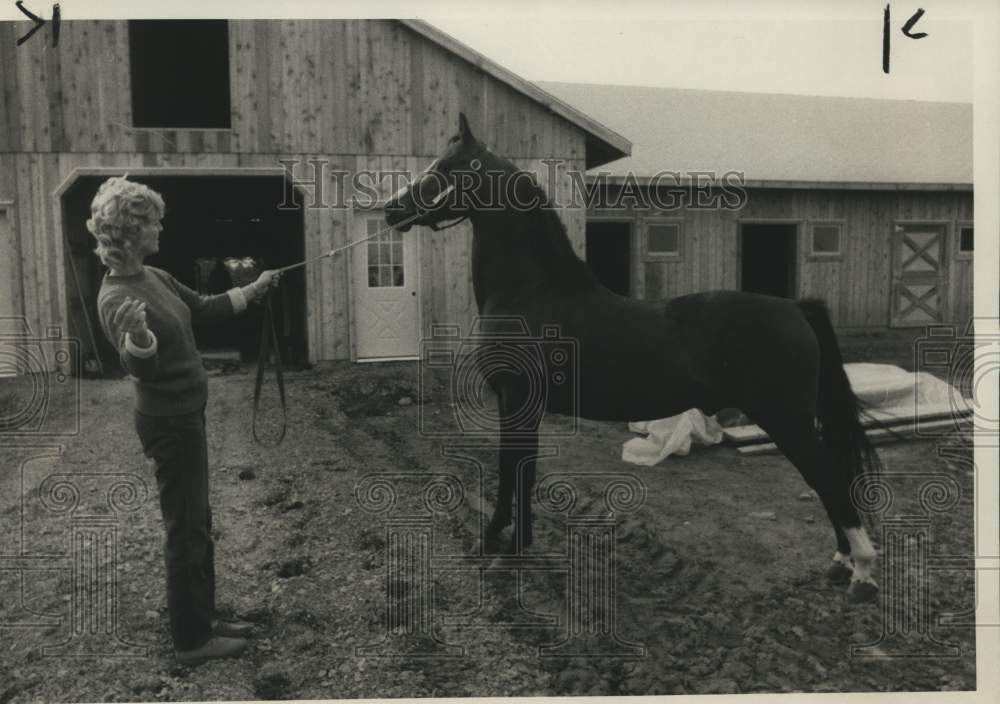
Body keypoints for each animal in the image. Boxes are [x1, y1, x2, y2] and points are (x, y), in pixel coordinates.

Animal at [386, 113, 880, 604]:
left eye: (448, 167)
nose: (392, 209)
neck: (532, 293)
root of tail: (795, 307)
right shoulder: (519, 405)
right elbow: (514, 472)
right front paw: (497, 541)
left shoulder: (518, 401)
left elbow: (515, 470)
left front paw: (506, 551)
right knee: (826, 477)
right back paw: (842, 562)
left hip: (786, 419)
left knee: (828, 477)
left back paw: (862, 572)